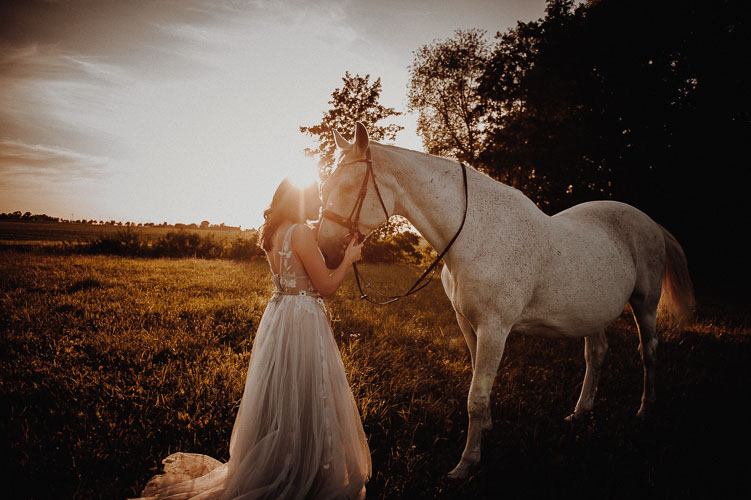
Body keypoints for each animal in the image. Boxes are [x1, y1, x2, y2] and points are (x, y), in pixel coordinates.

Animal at [314, 123, 696, 478]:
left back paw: (645, 409)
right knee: (597, 354)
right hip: (592, 312)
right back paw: (580, 412)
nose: (326, 251)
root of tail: (649, 222)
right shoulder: (467, 325)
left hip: (645, 304)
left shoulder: (494, 329)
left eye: (347, 188)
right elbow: (477, 383)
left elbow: (477, 396)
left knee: (648, 351)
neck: (475, 234)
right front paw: (485, 430)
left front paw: (466, 464)